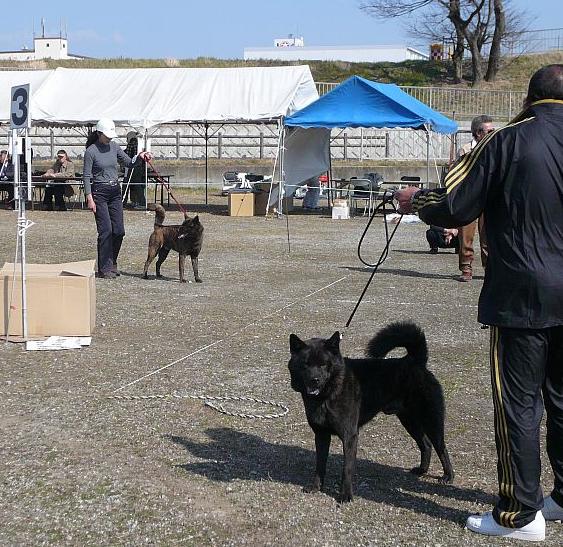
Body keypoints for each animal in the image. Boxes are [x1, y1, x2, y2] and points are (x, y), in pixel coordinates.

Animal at [288, 322, 456, 506]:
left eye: (324, 364)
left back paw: (448, 476)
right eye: (305, 364)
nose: (315, 380)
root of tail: (415, 361)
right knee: (425, 444)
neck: (328, 395)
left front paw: (346, 495)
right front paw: (315, 487)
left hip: (431, 420)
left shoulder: (349, 436)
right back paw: (421, 470)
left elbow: (346, 469)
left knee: (441, 447)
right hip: (409, 420)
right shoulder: (321, 435)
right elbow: (320, 465)